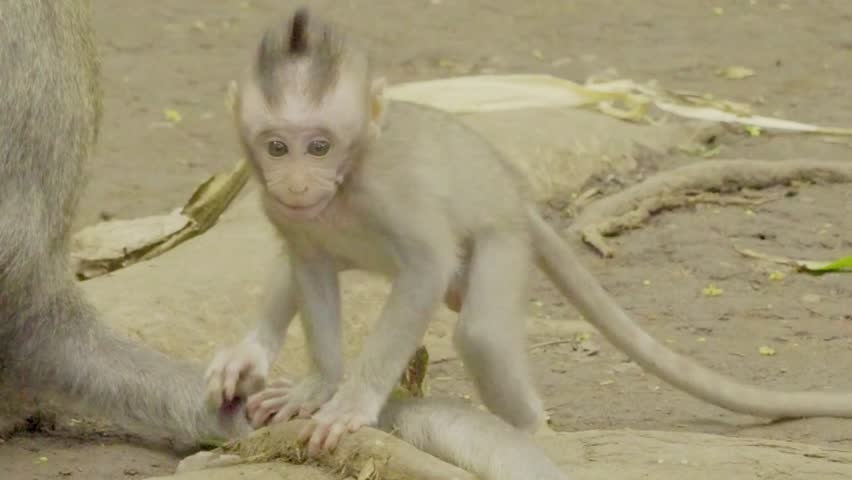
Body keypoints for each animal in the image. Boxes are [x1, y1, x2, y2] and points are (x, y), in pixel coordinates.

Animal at [206, 6, 852, 464]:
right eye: (276, 147)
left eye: (319, 146)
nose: (296, 181)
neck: (345, 182)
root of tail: (513, 193)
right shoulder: (282, 209)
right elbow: (307, 264)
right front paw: (317, 385)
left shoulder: (393, 193)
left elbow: (425, 266)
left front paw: (353, 403)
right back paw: (251, 352)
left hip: (502, 241)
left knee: (482, 331)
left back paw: (527, 429)